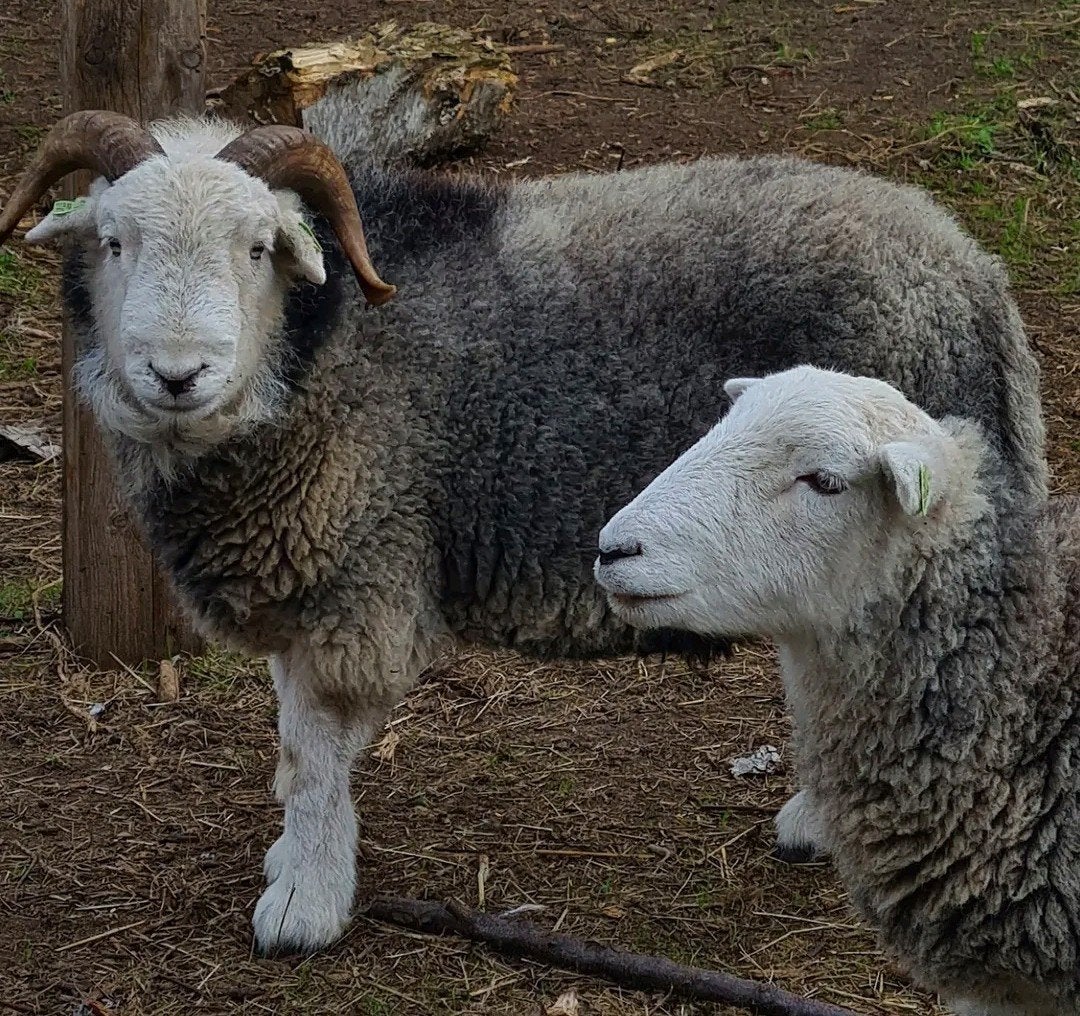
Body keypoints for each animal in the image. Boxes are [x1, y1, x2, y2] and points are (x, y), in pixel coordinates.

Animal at [0, 105, 1049, 955]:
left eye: (259, 247)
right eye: (113, 241)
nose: (178, 373)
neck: (313, 355)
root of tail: (972, 267)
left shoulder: (360, 571)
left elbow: (317, 749)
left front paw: (304, 902)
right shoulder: (311, 576)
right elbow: (296, 745)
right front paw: (292, 863)